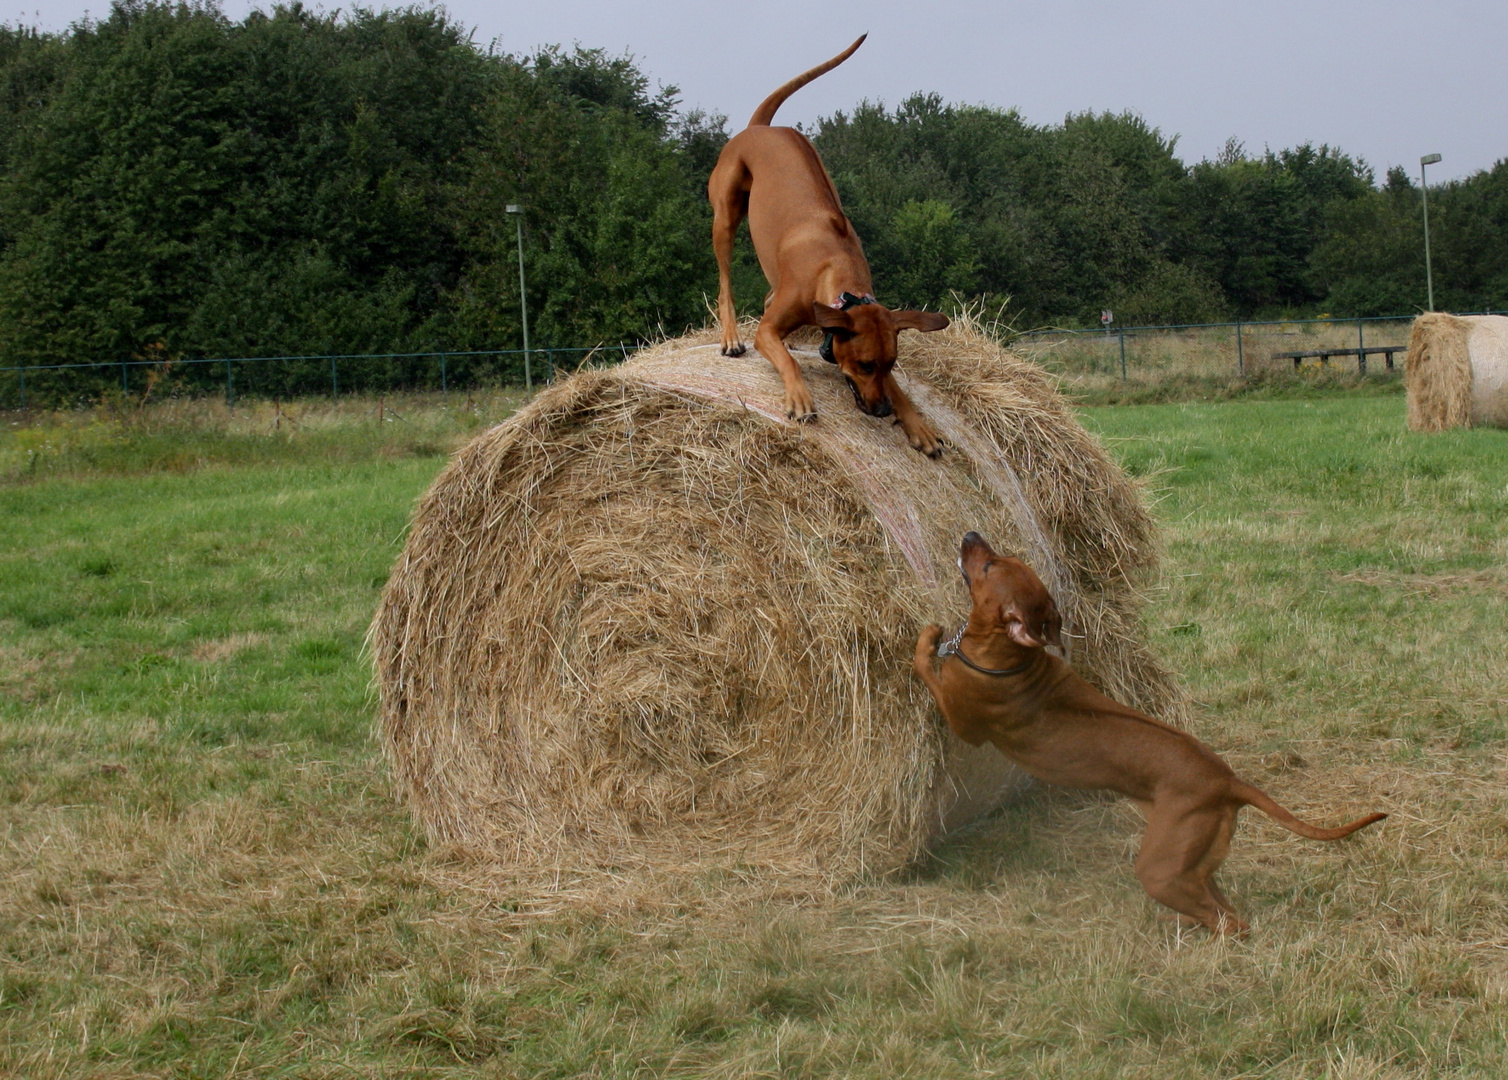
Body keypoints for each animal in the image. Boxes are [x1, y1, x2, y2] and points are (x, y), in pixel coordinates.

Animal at [711, 34, 947, 455]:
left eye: (890, 364)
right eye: (866, 365)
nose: (883, 410)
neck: (837, 276)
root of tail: (761, 128)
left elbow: (903, 391)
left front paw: (916, 422)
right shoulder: (767, 330)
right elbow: (784, 358)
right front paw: (800, 398)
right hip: (725, 215)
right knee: (725, 282)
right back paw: (730, 336)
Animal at [904, 533, 1387, 935]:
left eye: (989, 566)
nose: (970, 534)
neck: (1010, 656)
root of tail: (1228, 781)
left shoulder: (963, 721)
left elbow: (925, 665)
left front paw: (927, 637)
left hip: (1160, 867)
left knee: (1229, 921)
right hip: (1193, 864)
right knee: (1221, 906)